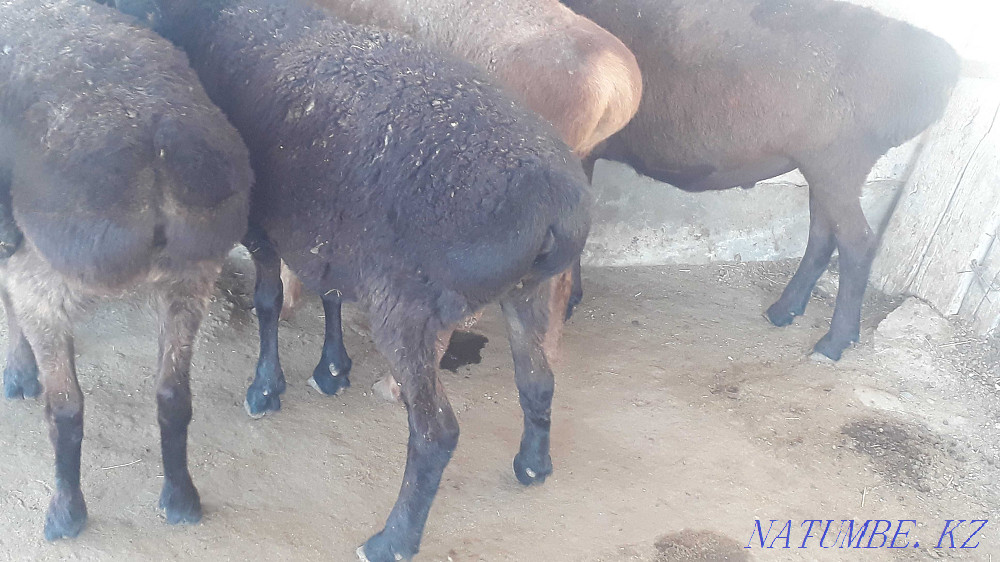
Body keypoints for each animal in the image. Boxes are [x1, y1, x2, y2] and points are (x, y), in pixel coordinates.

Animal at [0, 0, 252, 540]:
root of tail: (155, 155)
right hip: (189, 278)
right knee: (173, 395)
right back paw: (180, 497)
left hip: (48, 281)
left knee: (65, 408)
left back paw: (65, 510)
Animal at [123, 0, 592, 559]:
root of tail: (555, 205)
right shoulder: (332, 230)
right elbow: (330, 293)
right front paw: (331, 369)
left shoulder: (261, 222)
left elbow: (268, 298)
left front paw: (266, 388)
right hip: (527, 292)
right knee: (538, 380)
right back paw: (533, 467)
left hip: (408, 308)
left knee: (435, 433)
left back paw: (393, 539)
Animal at [561, 0, 961, 361]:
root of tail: (942, 67)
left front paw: (567, 300)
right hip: (824, 168)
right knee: (822, 235)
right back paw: (784, 310)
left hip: (838, 162)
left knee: (857, 243)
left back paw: (833, 343)